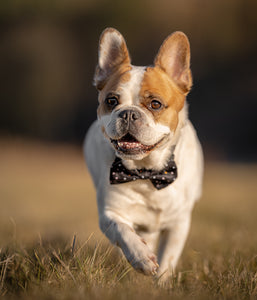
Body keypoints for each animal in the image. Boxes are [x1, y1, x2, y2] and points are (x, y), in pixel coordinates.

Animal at [83, 28, 202, 282]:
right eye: (111, 101)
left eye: (155, 104)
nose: (128, 113)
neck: (146, 172)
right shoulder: (110, 213)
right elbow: (123, 232)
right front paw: (141, 258)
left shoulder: (178, 224)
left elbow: (168, 258)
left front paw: (162, 282)